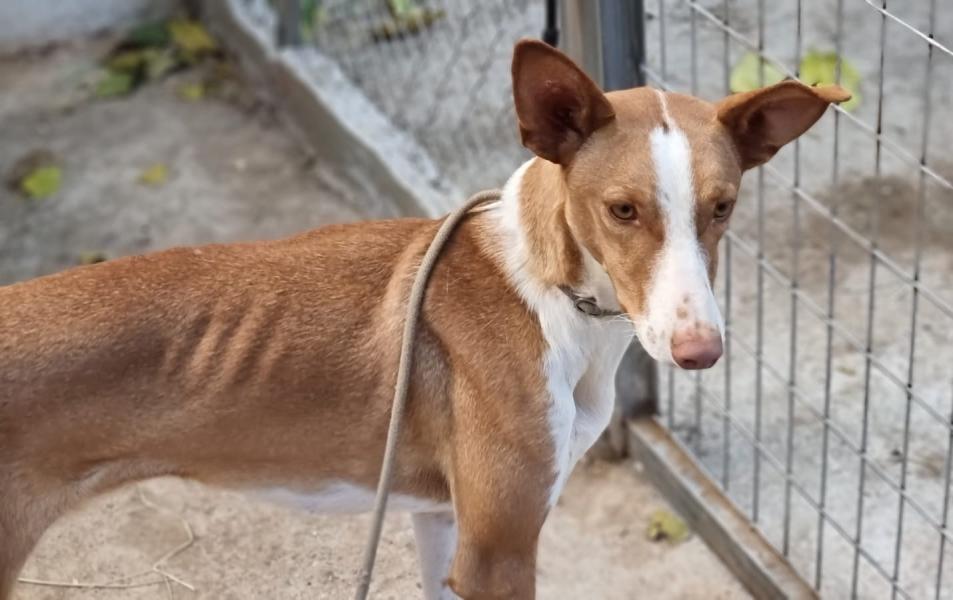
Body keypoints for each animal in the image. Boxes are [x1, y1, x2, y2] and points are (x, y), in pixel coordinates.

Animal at [0, 39, 848, 599]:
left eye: (721, 207)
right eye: (621, 210)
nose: (698, 350)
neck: (547, 295)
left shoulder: (446, 524)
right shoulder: (499, 550)